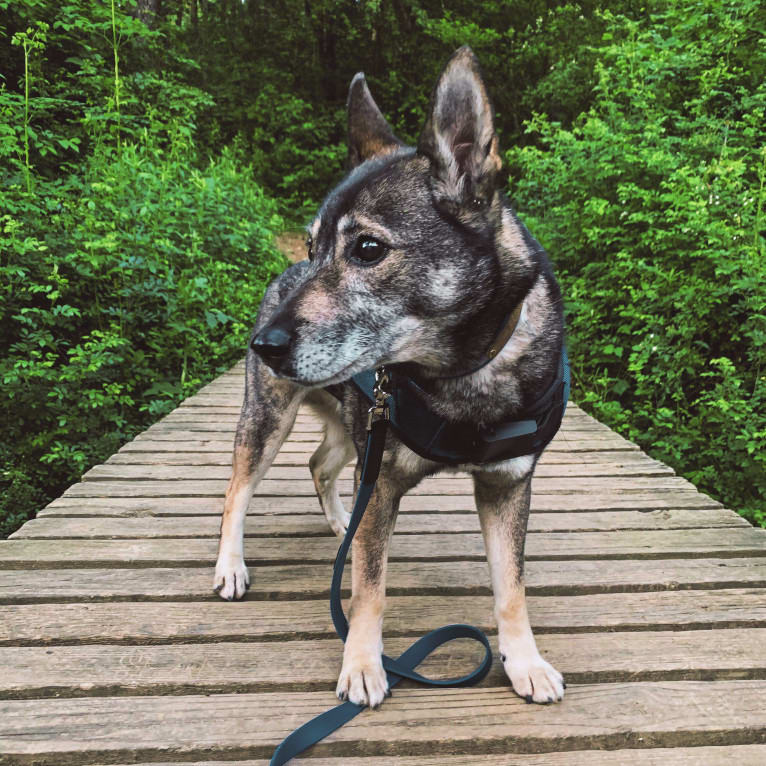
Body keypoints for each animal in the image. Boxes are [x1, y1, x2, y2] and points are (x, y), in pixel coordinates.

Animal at [213, 46, 568, 708]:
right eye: (313, 246)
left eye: (368, 249)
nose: (263, 344)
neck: (459, 374)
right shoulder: (380, 484)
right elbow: (369, 588)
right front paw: (361, 664)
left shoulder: (506, 485)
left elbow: (511, 587)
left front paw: (525, 661)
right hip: (270, 420)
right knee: (238, 491)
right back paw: (230, 565)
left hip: (351, 429)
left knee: (320, 466)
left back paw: (337, 524)